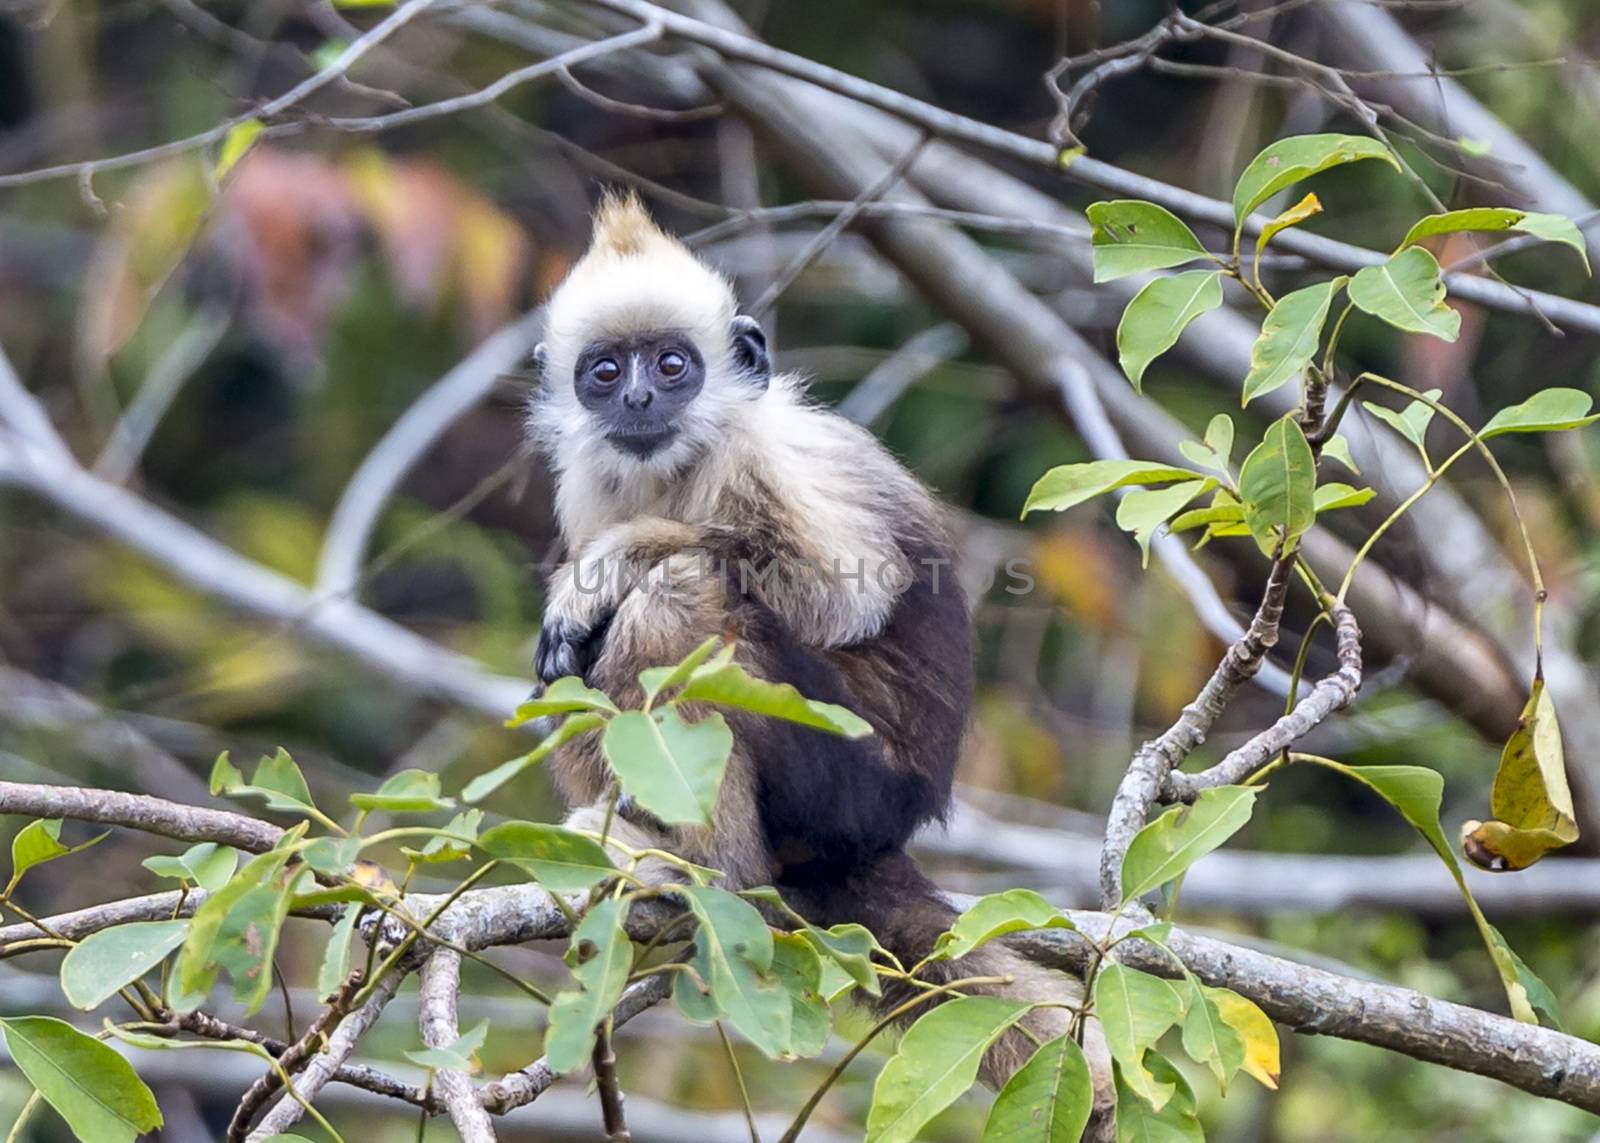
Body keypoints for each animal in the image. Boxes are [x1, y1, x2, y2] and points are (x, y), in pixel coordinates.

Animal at [524, 188, 1100, 1094]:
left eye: (673, 365)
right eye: (606, 373)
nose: (640, 401)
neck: (685, 465)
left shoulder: (770, 460)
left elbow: (836, 599)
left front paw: (611, 562)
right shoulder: (589, 477)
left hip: (849, 789)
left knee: (673, 600)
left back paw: (712, 873)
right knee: (582, 670)